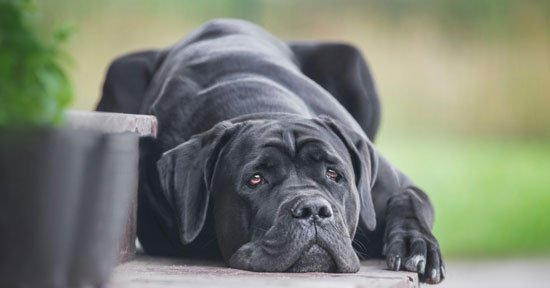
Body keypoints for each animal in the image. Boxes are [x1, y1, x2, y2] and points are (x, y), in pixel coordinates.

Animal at [97, 18, 446, 284]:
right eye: (255, 180)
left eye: (334, 174)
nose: (313, 210)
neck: (267, 108)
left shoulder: (392, 185)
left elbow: (410, 199)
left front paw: (417, 245)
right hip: (121, 69)